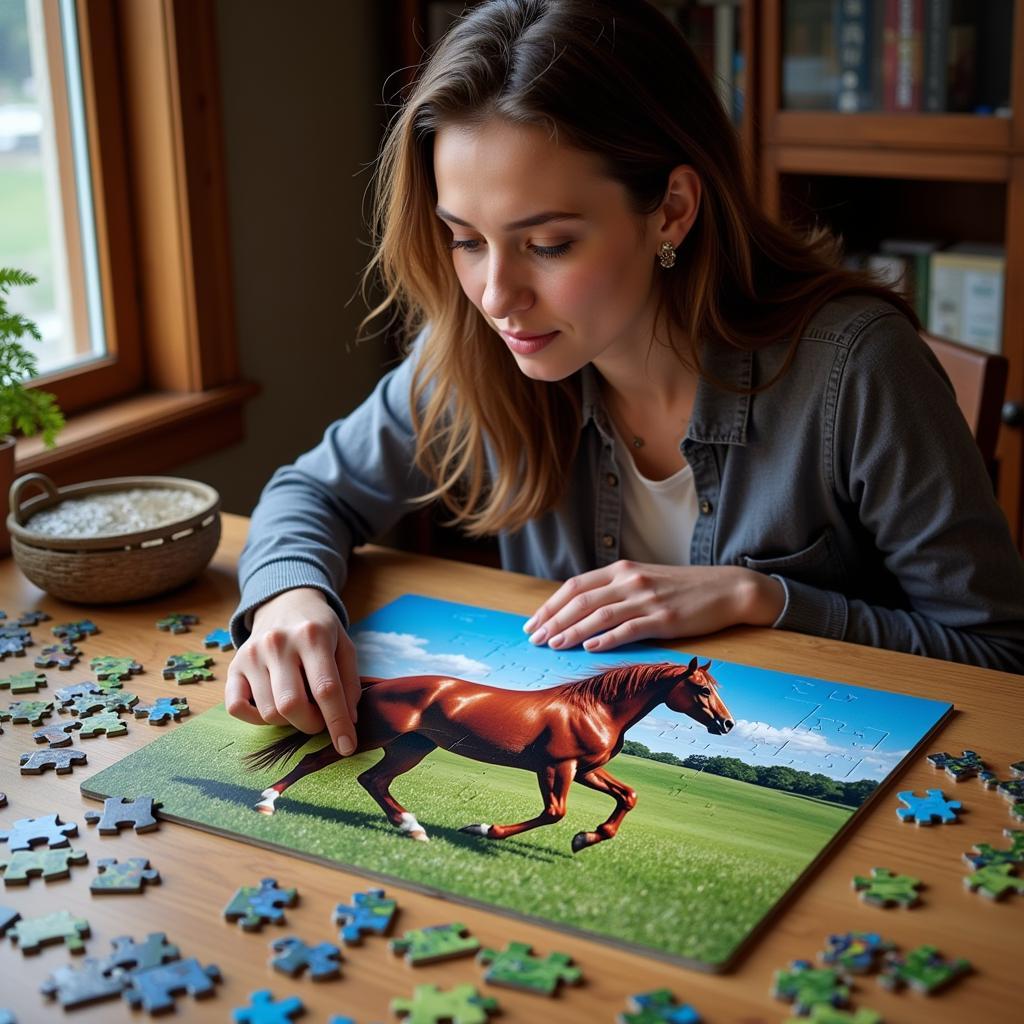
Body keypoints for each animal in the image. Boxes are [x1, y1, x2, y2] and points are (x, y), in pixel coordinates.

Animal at [243, 659, 733, 851]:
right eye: (702, 690)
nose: (726, 725)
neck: (593, 709)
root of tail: (380, 683)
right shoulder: (557, 767)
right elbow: (553, 812)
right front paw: (481, 829)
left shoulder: (585, 770)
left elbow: (627, 796)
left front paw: (587, 838)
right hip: (372, 737)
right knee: (315, 762)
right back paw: (267, 801)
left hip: (411, 747)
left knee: (375, 781)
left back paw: (412, 827)